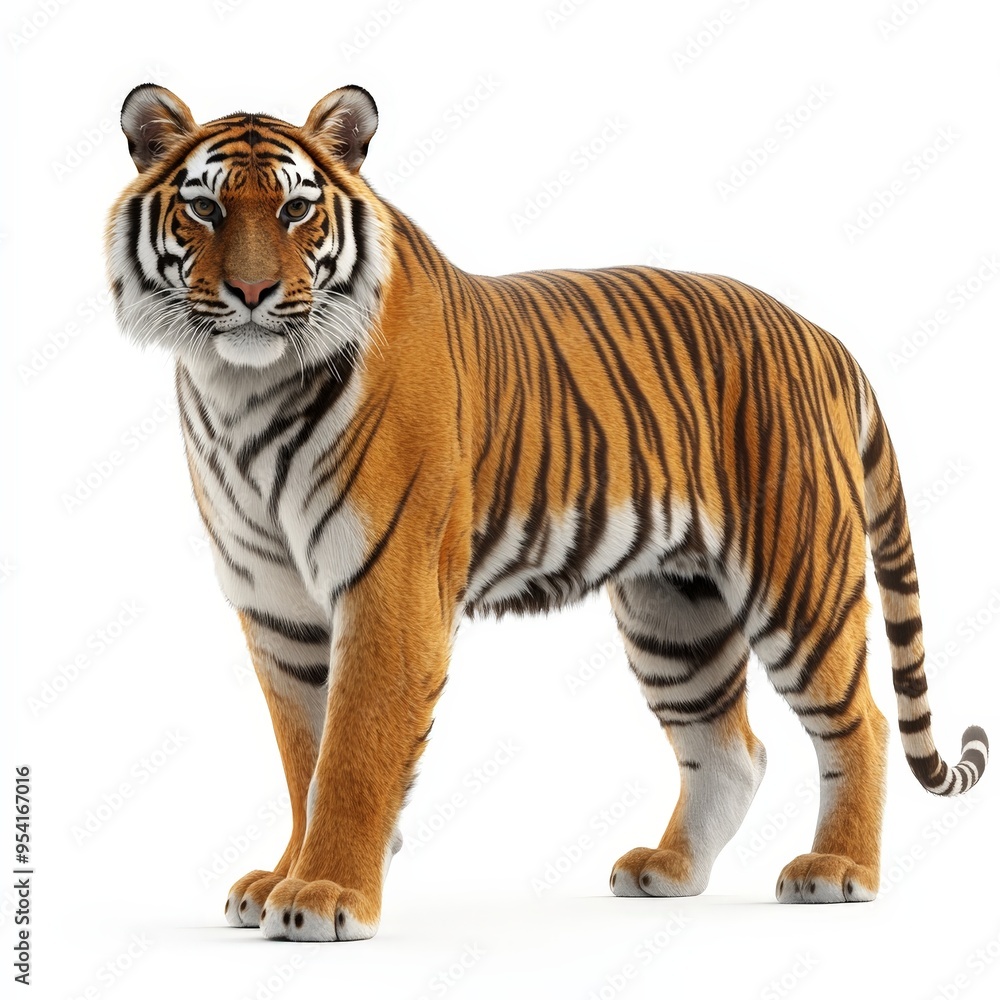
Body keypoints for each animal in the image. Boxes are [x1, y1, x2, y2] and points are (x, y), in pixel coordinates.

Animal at [106, 83, 988, 942]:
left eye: (295, 209)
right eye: (205, 208)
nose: (252, 294)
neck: (243, 389)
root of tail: (826, 340)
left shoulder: (391, 586)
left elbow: (352, 752)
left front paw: (327, 893)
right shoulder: (276, 607)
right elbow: (303, 757)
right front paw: (283, 876)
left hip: (798, 577)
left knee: (860, 722)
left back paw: (838, 870)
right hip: (676, 613)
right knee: (731, 749)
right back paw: (668, 871)